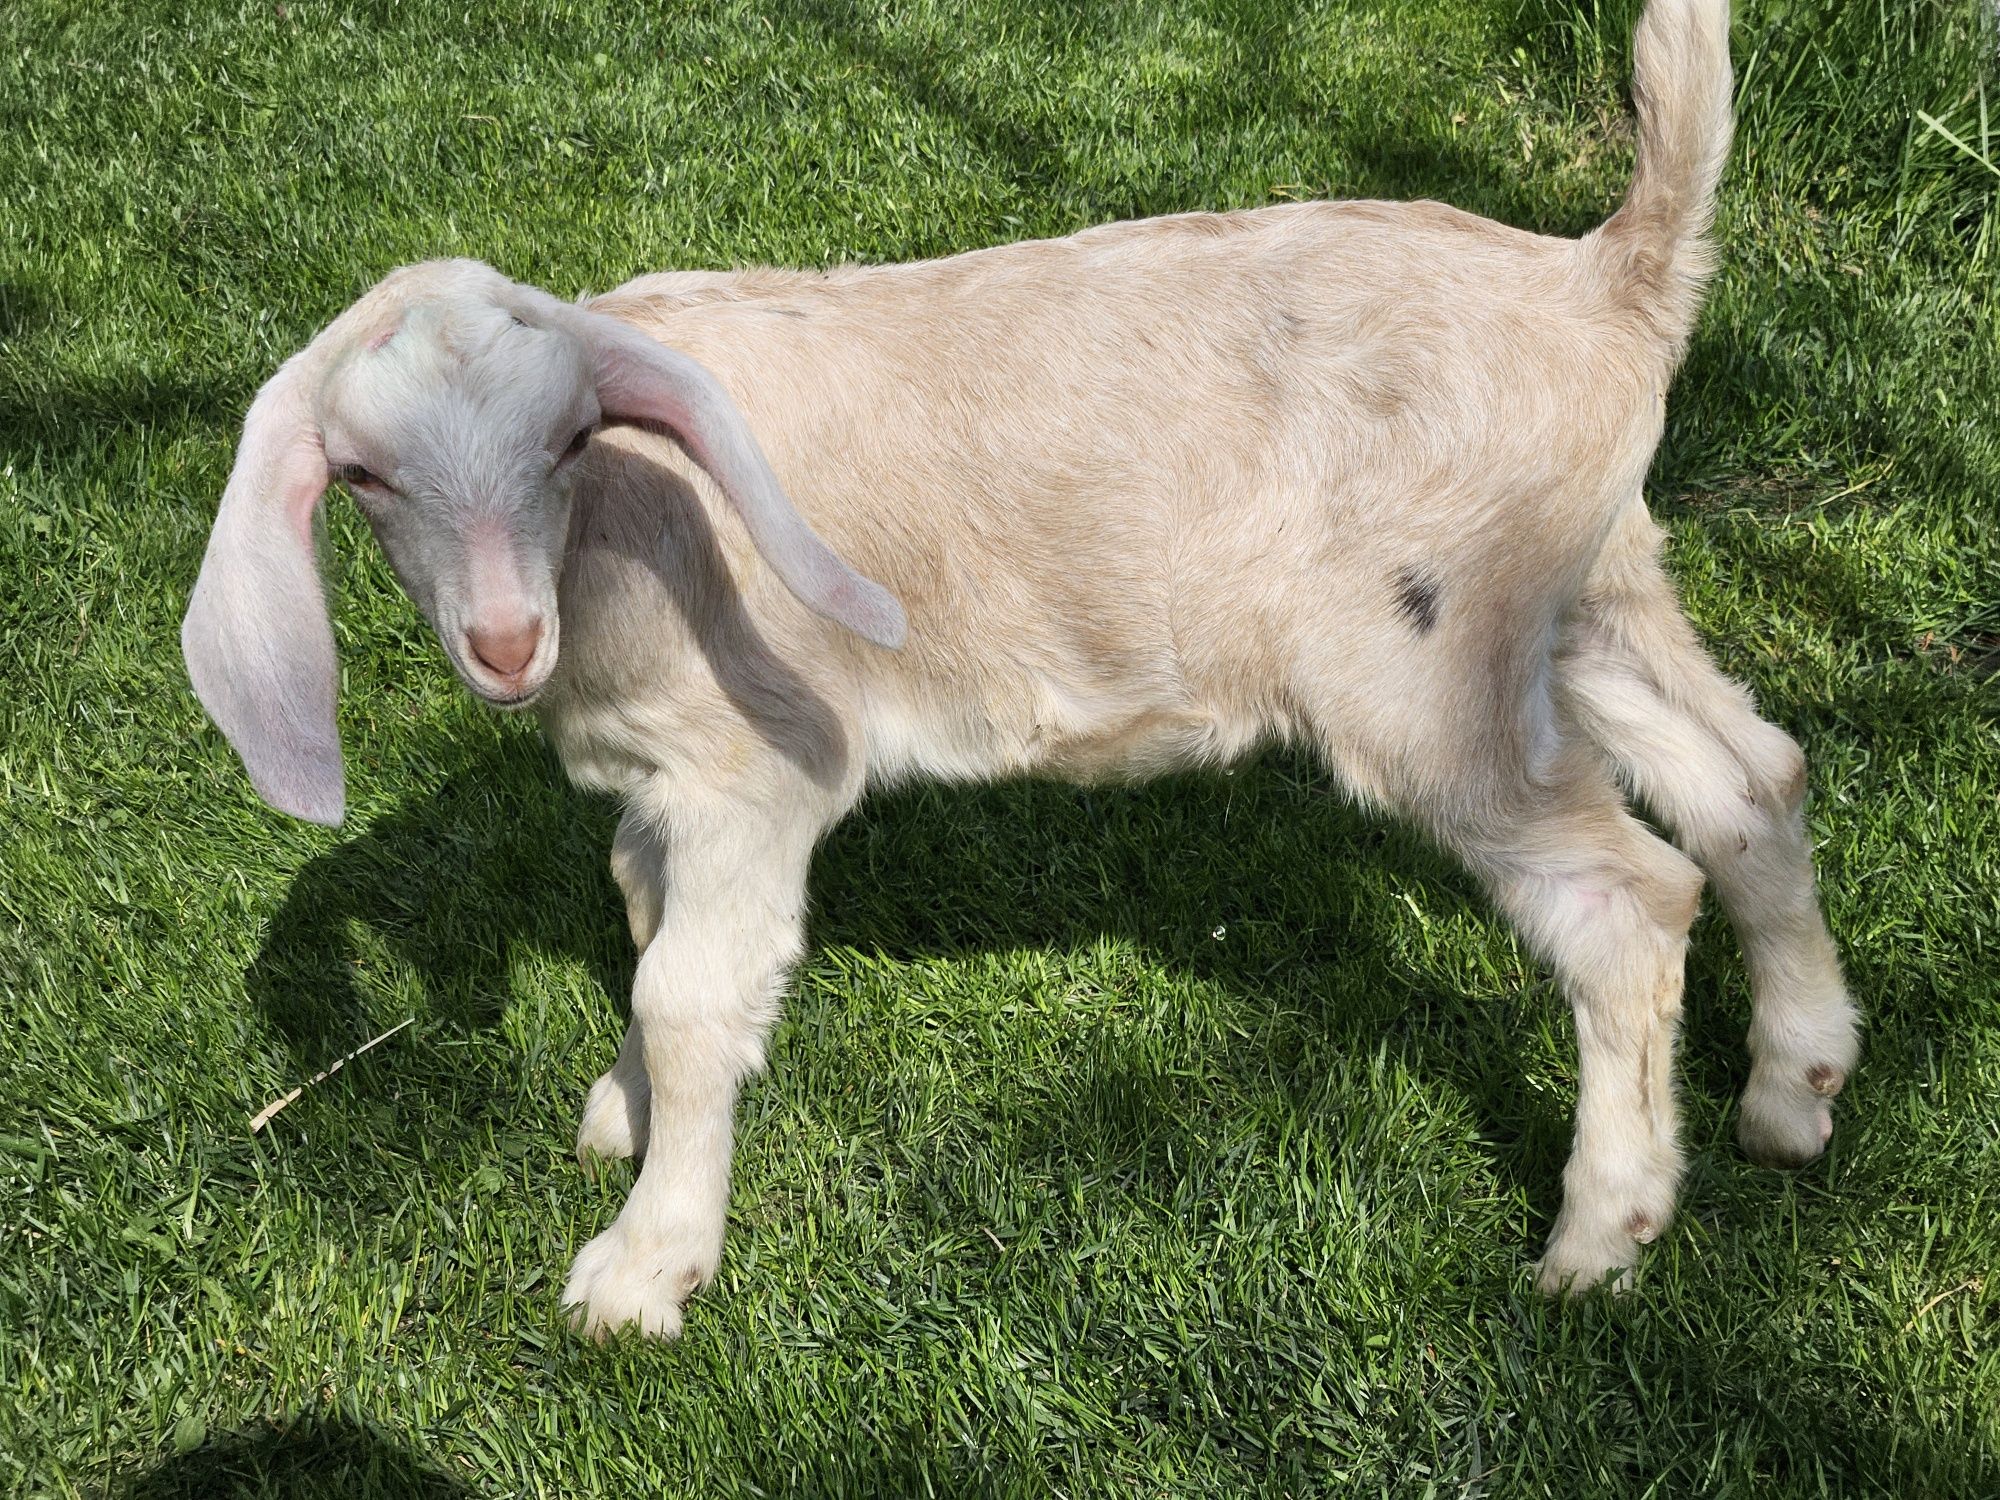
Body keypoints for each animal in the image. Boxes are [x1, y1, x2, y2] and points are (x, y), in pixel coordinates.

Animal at [188, 0, 1856, 1336]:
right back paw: (1794, 1088)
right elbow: (640, 917)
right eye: (364, 477)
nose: (502, 644)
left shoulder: (752, 767)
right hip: (1575, 592)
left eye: (565, 441)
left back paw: (1599, 1236)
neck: (619, 536)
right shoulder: (663, 782)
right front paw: (623, 1112)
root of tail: (1610, 283)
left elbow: (692, 990)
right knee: (1750, 777)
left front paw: (643, 1266)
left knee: (1627, 901)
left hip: (1427, 653)